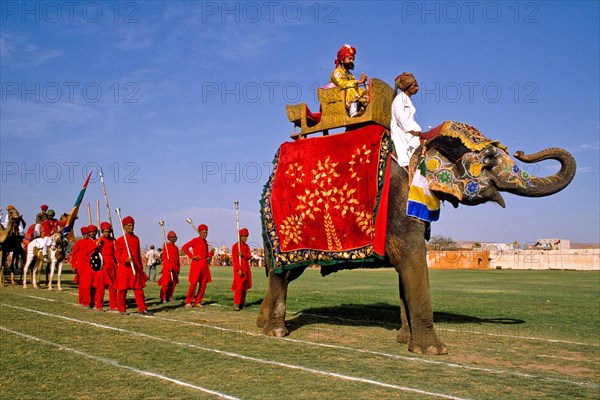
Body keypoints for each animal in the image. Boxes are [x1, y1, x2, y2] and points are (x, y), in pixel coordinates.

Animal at [256, 120, 576, 354]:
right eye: (488, 158)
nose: (521, 150)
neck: (422, 145)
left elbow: (406, 269)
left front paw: (404, 340)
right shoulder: (400, 200)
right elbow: (411, 257)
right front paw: (434, 351)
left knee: (280, 271)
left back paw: (261, 323)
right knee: (284, 273)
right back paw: (276, 332)